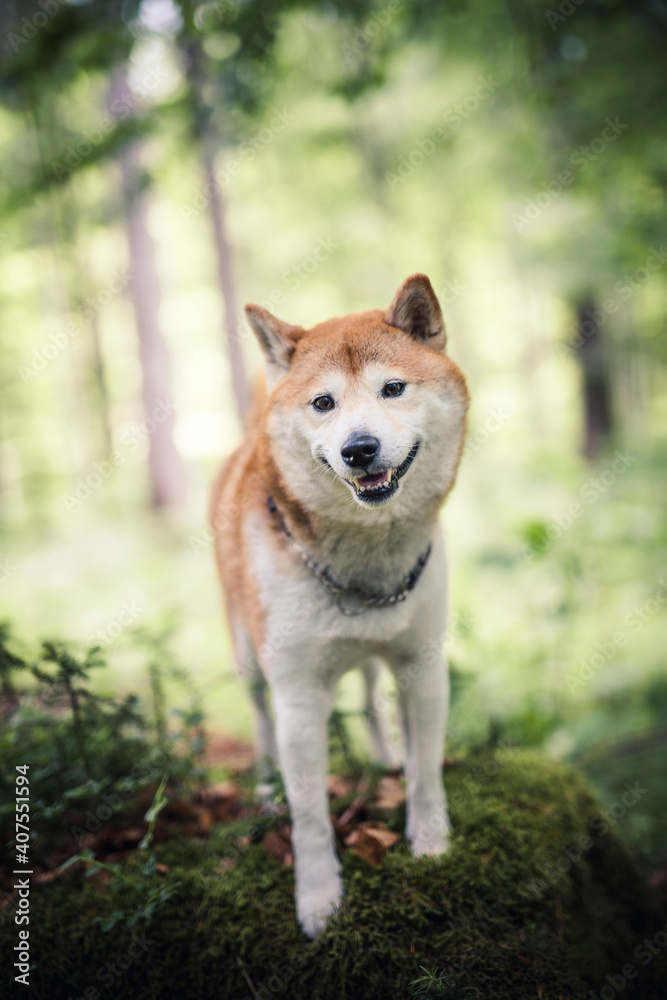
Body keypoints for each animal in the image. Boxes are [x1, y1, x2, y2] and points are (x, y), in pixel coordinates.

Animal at [210, 272, 470, 936]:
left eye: (393, 388)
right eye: (323, 403)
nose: (360, 448)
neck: (363, 567)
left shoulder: (422, 665)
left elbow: (427, 771)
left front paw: (432, 844)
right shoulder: (298, 695)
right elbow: (309, 817)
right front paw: (318, 896)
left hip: (374, 657)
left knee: (372, 698)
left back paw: (385, 757)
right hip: (248, 660)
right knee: (259, 726)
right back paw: (266, 792)